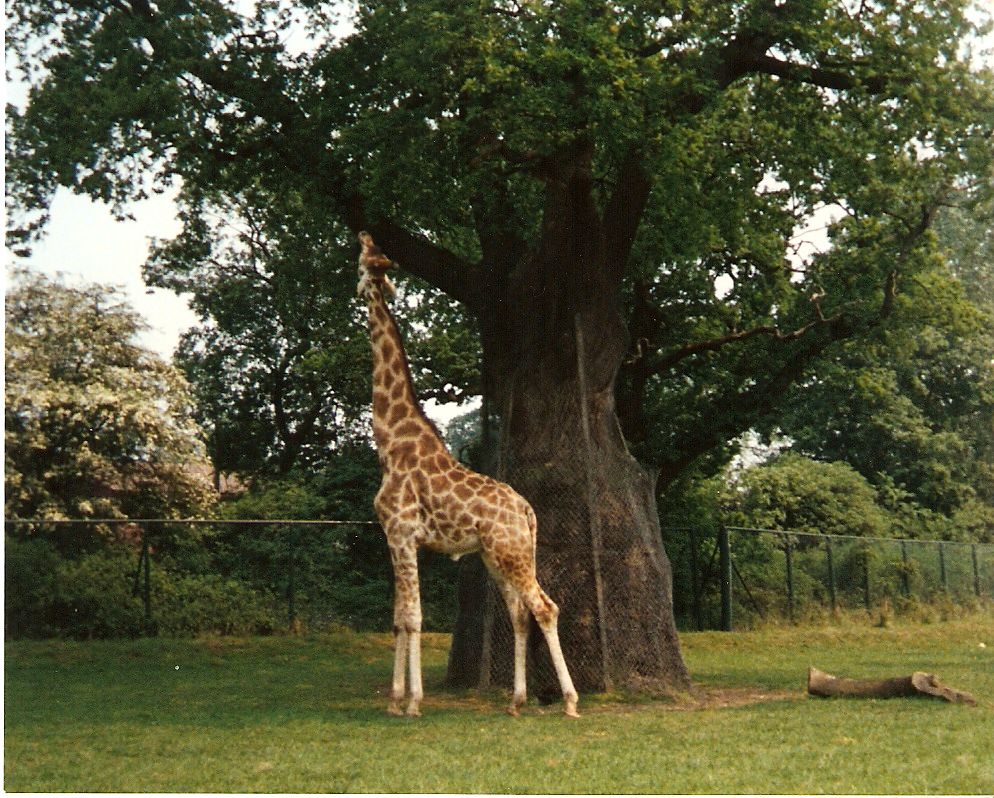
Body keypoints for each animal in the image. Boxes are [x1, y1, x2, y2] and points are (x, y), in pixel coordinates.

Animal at [356, 231, 579, 718]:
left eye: (364, 260)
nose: (363, 233)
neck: (390, 443)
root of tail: (528, 511)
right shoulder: (395, 537)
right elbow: (398, 617)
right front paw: (395, 699)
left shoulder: (402, 532)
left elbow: (412, 617)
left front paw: (413, 702)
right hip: (499, 556)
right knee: (519, 612)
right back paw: (516, 700)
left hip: (511, 554)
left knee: (546, 607)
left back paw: (571, 701)